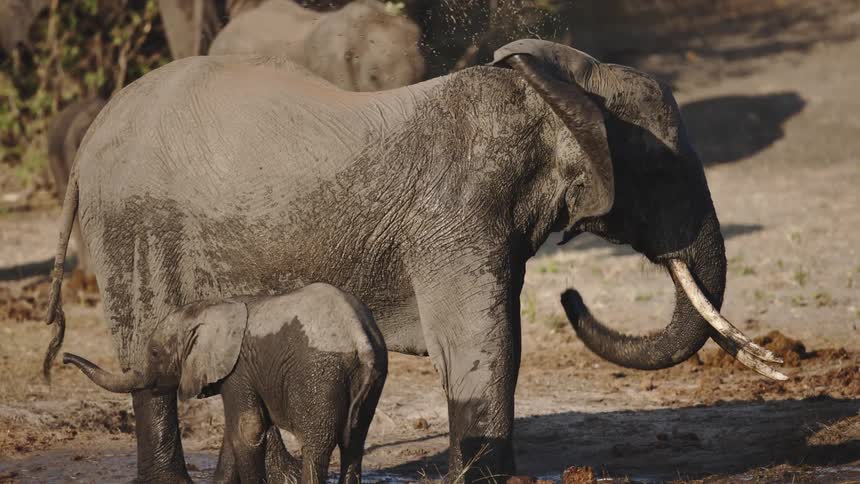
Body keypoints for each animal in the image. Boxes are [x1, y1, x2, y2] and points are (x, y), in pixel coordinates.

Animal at [63, 283, 387, 484]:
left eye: (154, 353)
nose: (64, 357)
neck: (211, 307)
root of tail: (360, 338)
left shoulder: (238, 369)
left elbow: (247, 429)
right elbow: (234, 432)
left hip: (318, 375)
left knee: (317, 447)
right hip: (369, 378)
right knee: (354, 443)